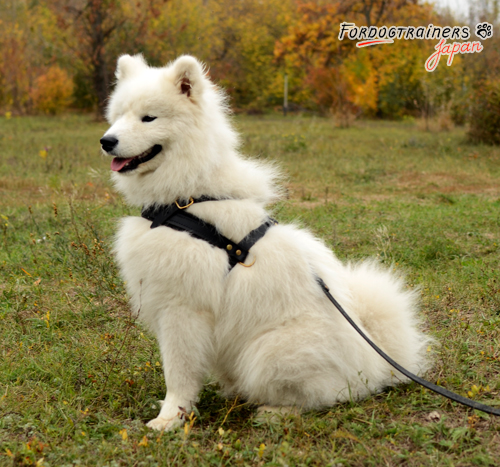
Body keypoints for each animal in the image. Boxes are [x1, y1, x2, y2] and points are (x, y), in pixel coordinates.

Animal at [99, 54, 432, 432]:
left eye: (148, 118)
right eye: (118, 116)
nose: (106, 141)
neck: (187, 201)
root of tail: (379, 364)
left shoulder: (182, 309)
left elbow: (178, 374)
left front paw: (170, 418)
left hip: (271, 350)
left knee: (324, 396)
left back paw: (274, 411)